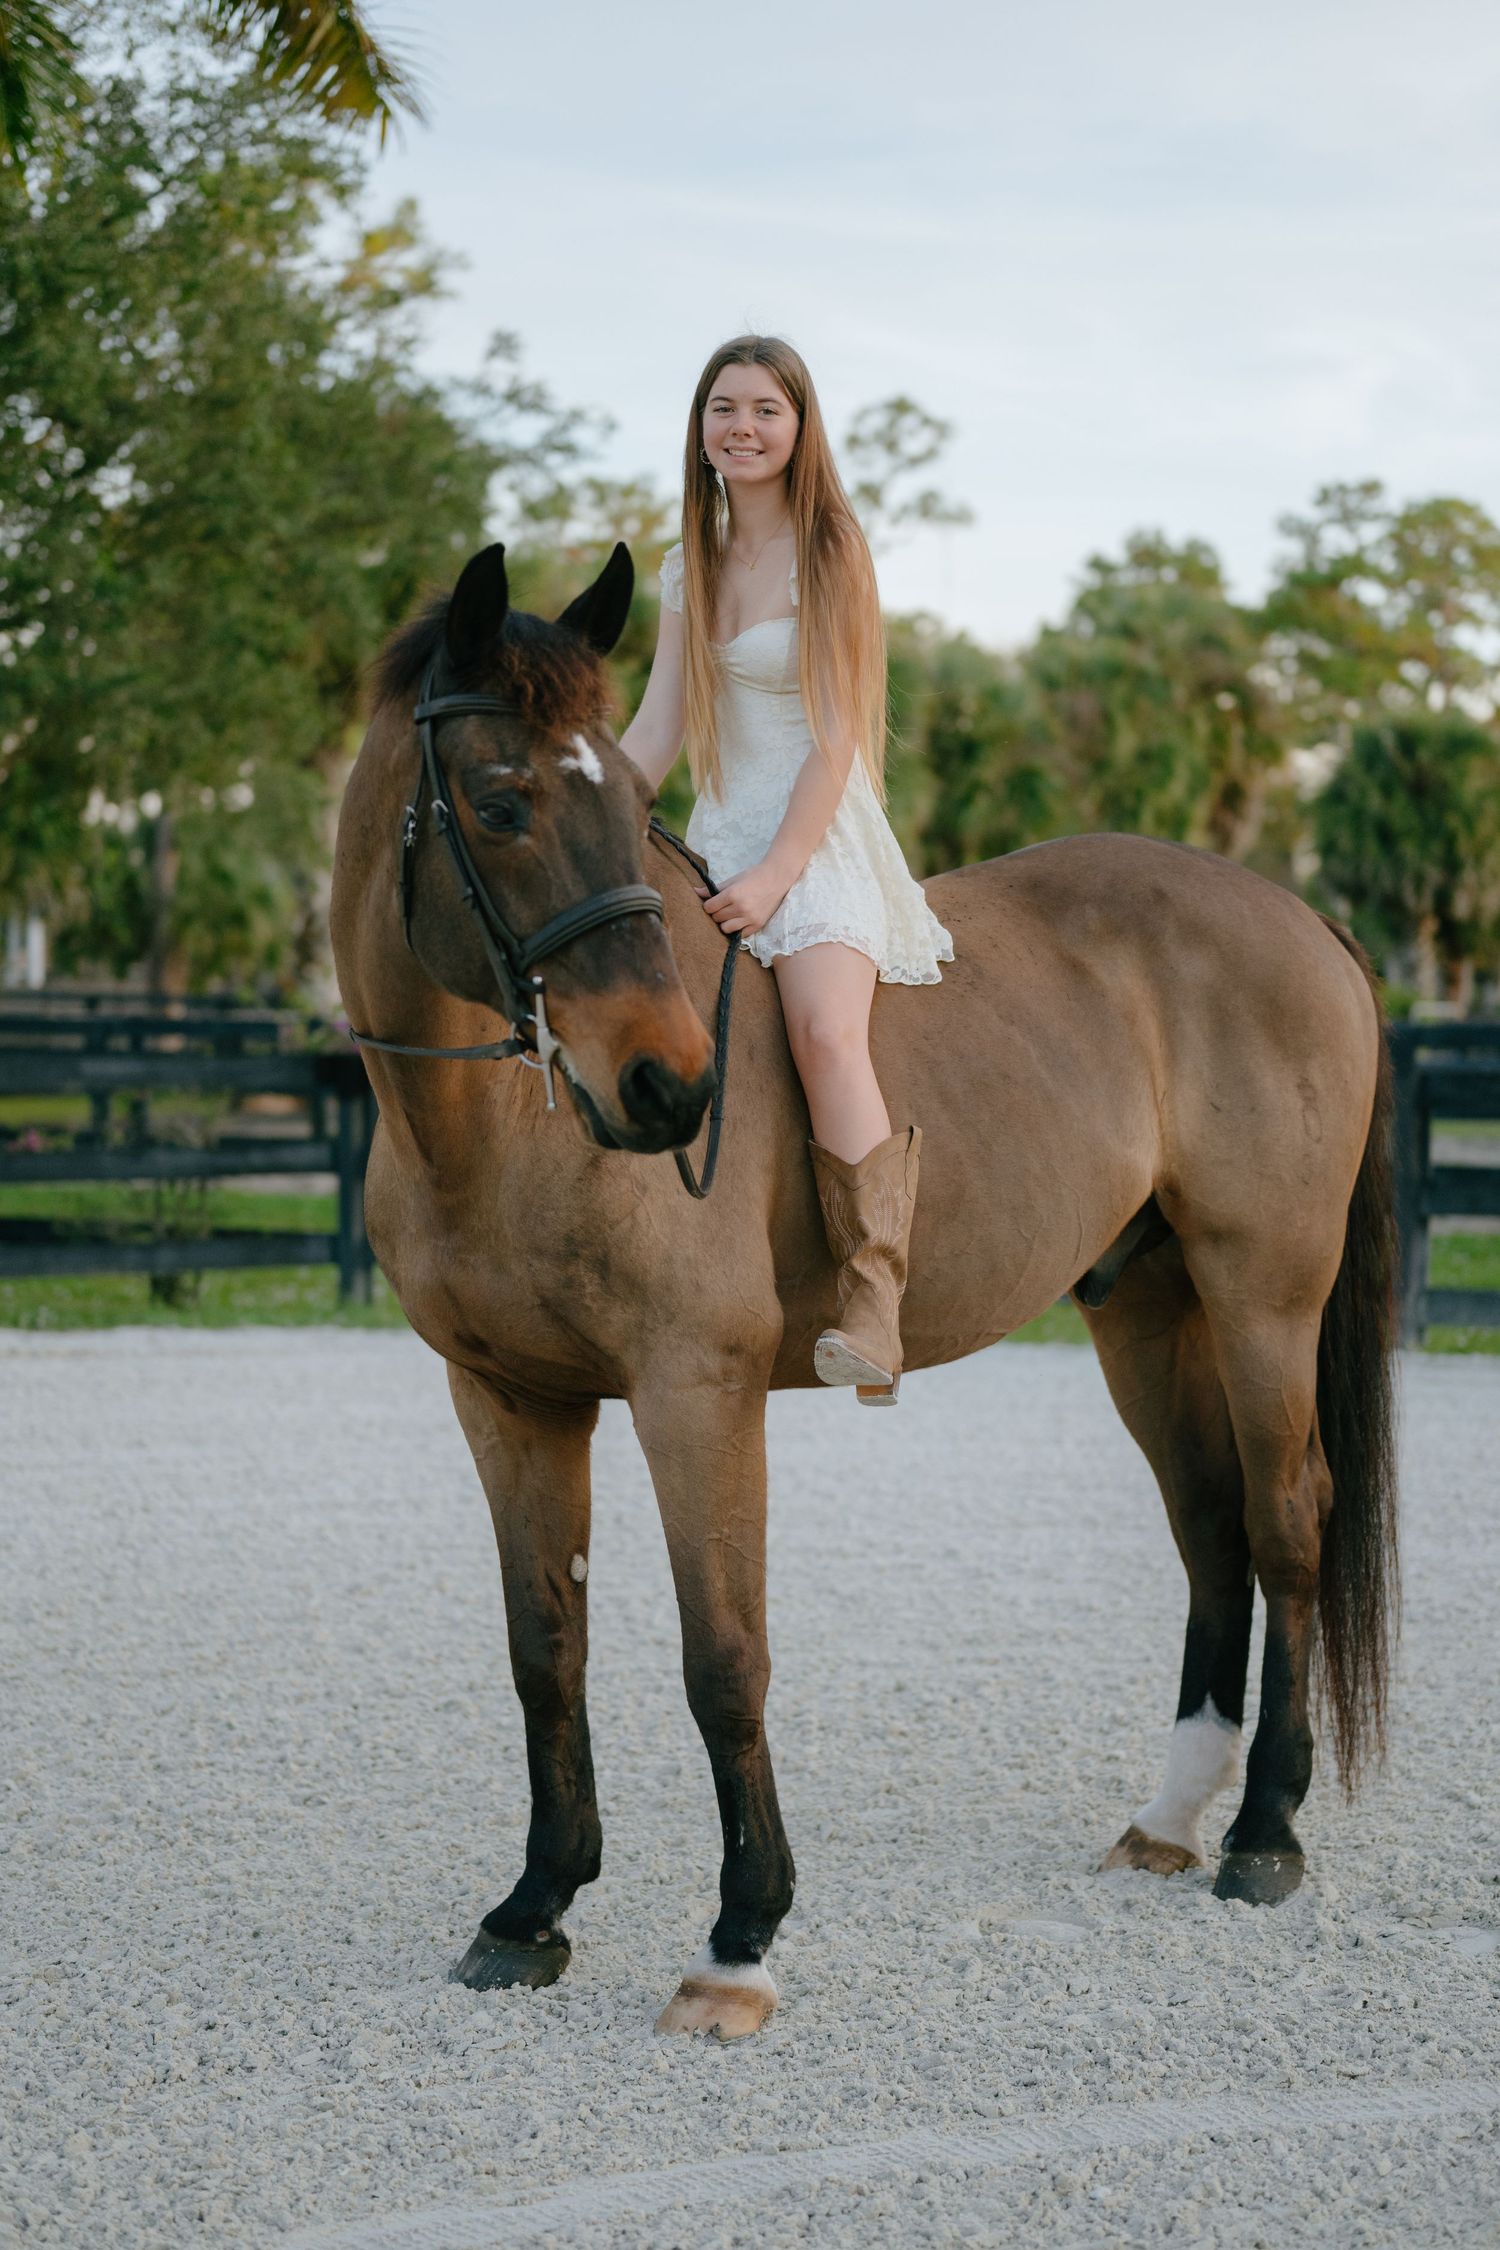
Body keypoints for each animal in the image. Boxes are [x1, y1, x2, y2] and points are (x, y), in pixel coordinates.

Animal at [330, 541, 1398, 2041]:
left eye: (633, 803)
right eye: (500, 801)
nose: (671, 1088)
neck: (500, 1130)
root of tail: (1299, 916)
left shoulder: (697, 1392)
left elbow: (725, 1656)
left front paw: (740, 1937)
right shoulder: (509, 1400)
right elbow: (545, 1649)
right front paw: (533, 1907)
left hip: (1264, 1299)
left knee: (1288, 1519)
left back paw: (1265, 1835)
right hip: (1146, 1310)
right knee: (1210, 1526)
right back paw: (1174, 1817)